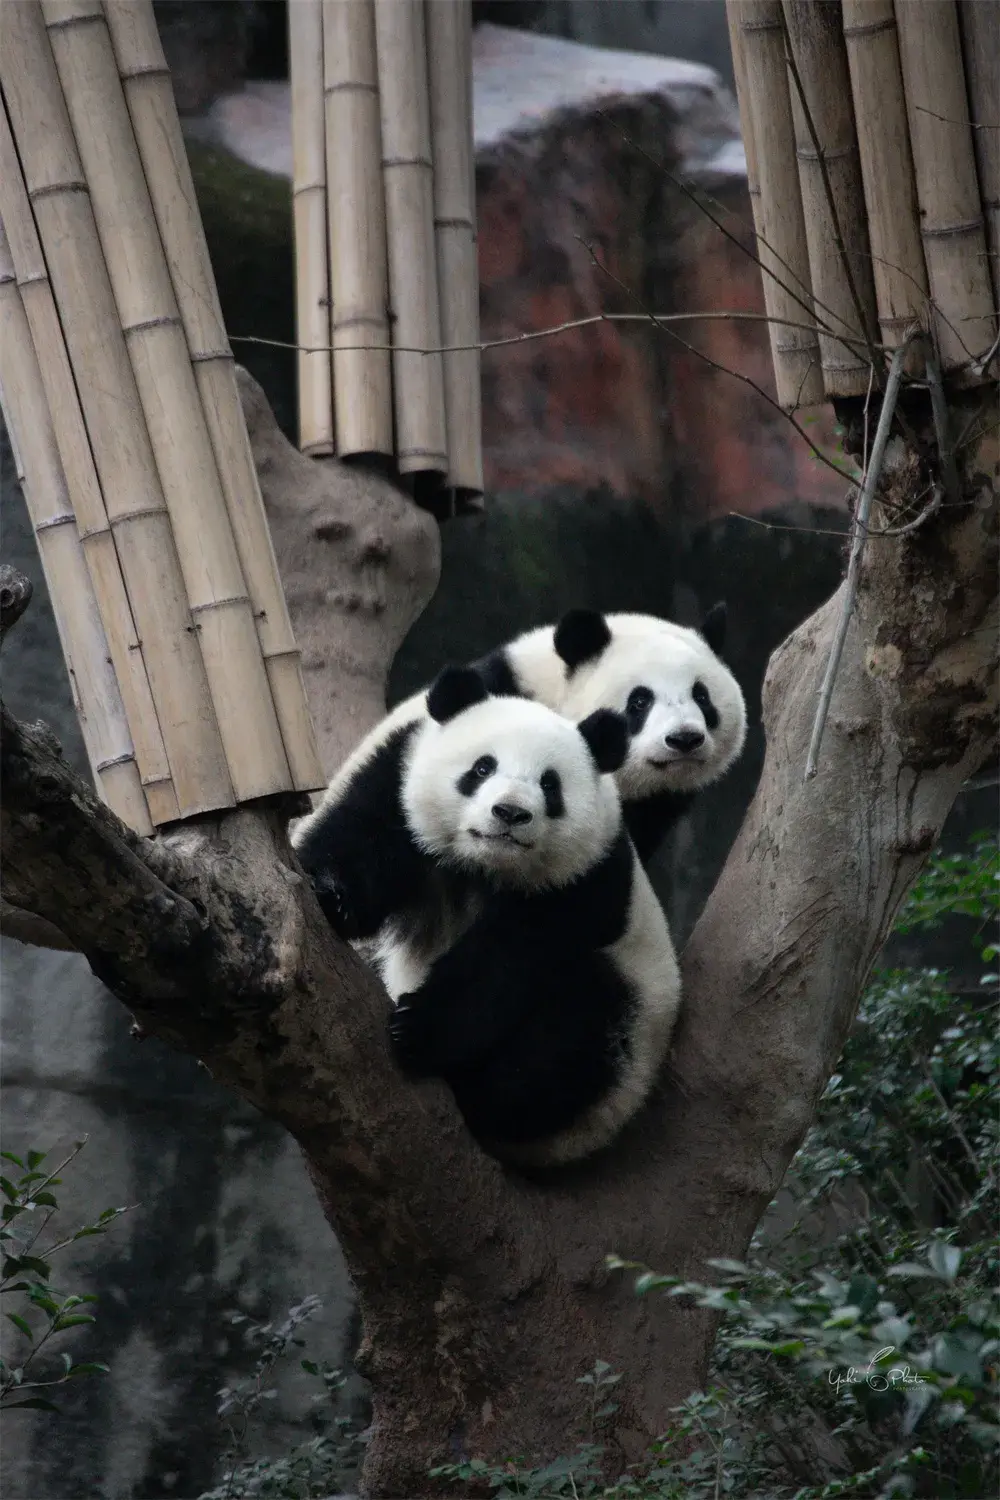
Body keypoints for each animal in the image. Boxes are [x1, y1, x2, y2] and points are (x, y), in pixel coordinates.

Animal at [386, 669, 683, 1170]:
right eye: (482, 768)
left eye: (550, 785)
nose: (509, 813)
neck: (488, 867)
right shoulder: (403, 819)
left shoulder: (582, 880)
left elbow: (501, 968)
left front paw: (416, 1032)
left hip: (624, 1045)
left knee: (571, 1033)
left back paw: (481, 1096)